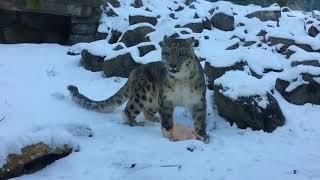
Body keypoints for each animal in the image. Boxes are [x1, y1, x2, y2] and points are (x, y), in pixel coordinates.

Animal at [66, 37, 209, 142]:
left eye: (181, 54)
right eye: (167, 53)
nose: (172, 65)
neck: (181, 80)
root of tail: (134, 71)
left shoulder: (198, 101)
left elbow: (199, 120)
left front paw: (202, 136)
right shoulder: (166, 100)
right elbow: (167, 118)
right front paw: (169, 133)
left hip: (153, 100)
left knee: (146, 111)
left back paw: (155, 119)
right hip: (142, 95)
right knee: (128, 109)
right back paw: (135, 124)